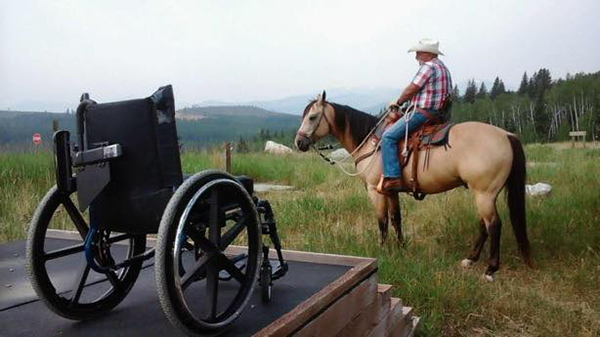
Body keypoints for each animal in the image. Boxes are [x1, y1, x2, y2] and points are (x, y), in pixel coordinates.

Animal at [292, 91, 532, 278]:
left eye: (312, 117)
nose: (299, 142)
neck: (372, 143)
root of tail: (507, 135)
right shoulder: (390, 191)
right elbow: (396, 219)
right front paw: (401, 247)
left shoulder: (374, 191)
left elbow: (382, 221)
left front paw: (382, 249)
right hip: (484, 194)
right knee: (484, 224)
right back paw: (470, 259)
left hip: (484, 193)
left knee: (494, 225)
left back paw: (490, 269)